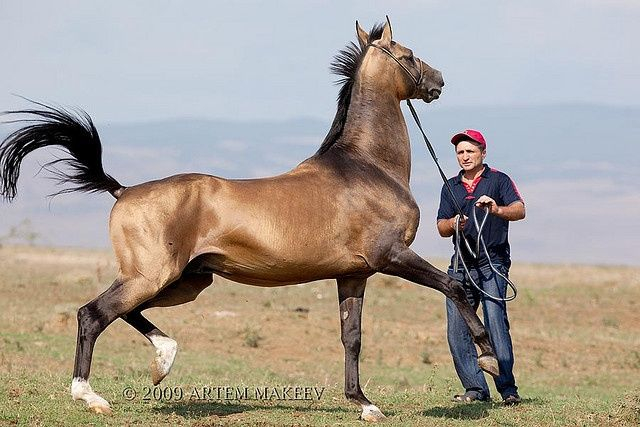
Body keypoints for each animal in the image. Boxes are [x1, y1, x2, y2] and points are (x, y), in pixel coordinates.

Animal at [0, 19, 498, 422]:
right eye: (409, 54)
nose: (438, 81)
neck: (366, 166)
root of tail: (122, 190)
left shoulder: (354, 275)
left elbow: (351, 337)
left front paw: (364, 404)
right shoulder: (392, 256)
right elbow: (455, 288)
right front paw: (488, 355)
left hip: (185, 281)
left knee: (125, 312)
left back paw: (163, 361)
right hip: (152, 276)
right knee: (93, 314)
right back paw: (91, 397)